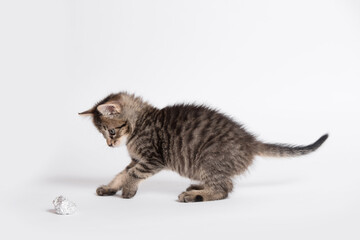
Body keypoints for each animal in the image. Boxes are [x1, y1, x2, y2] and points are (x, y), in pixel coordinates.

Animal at [79, 93, 330, 202]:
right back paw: (197, 188)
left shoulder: (152, 159)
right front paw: (110, 188)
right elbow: (122, 173)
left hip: (208, 160)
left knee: (223, 189)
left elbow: (132, 175)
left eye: (110, 132)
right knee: (227, 184)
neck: (140, 124)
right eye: (103, 134)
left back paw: (195, 196)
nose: (110, 144)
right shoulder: (137, 159)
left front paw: (128, 191)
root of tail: (250, 141)